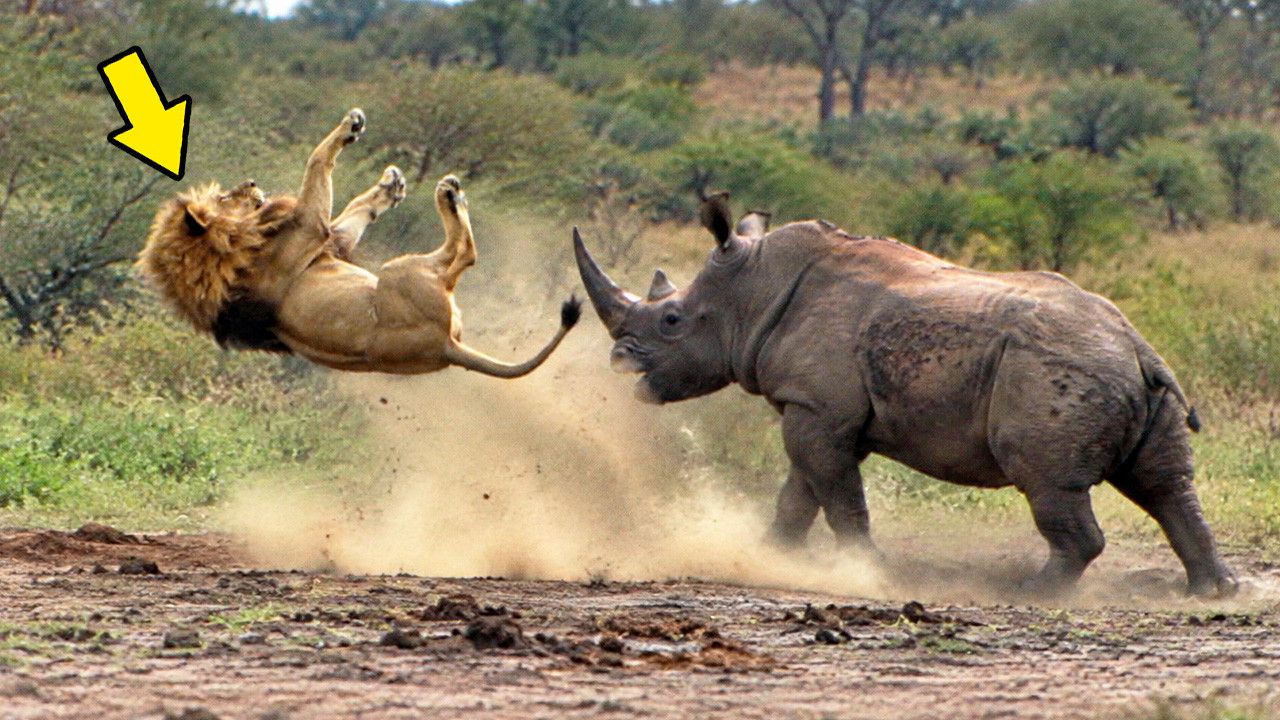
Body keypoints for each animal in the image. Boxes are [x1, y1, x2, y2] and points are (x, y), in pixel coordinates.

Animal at [573, 192, 1238, 598]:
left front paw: (865, 572)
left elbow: (836, 495)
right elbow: (800, 493)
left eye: (672, 321)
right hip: (1130, 377)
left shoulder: (818, 408)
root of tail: (1136, 348)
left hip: (1054, 375)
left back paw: (1031, 592)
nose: (619, 359)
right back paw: (1212, 591)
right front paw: (772, 558)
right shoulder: (821, 409)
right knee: (1166, 485)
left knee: (1047, 479)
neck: (754, 289)